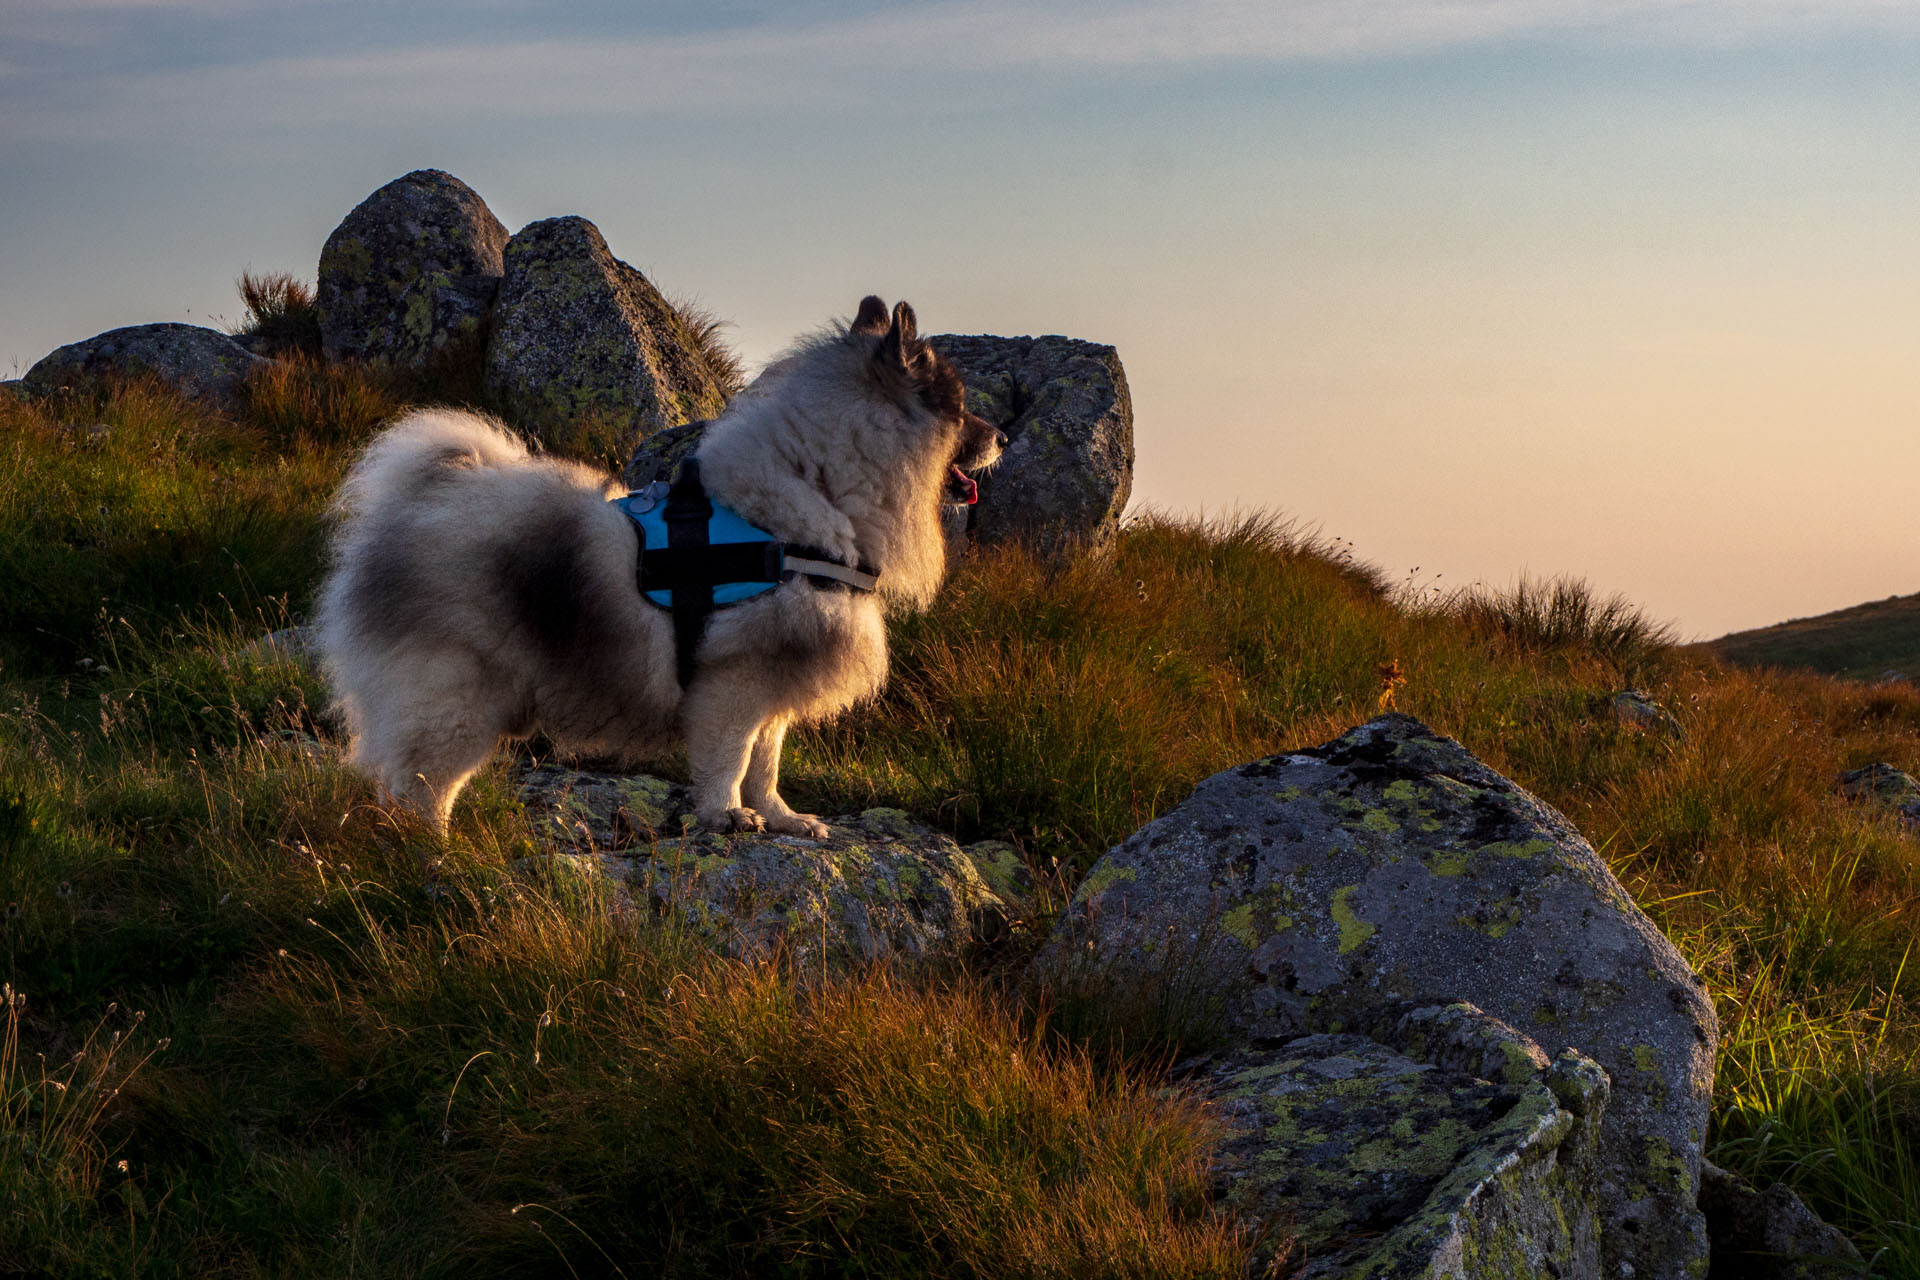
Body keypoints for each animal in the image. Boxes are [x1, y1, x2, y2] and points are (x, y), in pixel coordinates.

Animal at [311, 301, 1006, 840]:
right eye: (962, 411)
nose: (1001, 436)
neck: (808, 503)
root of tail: (418, 500)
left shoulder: (773, 685)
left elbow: (767, 763)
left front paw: (782, 818)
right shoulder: (733, 681)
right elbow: (730, 760)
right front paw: (726, 816)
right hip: (456, 699)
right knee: (416, 788)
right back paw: (433, 850)